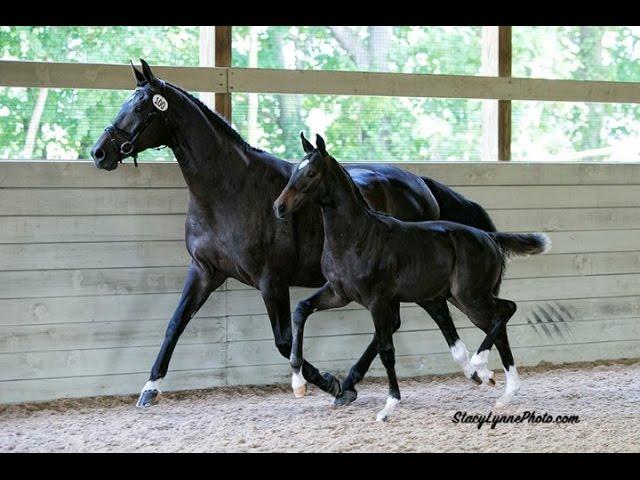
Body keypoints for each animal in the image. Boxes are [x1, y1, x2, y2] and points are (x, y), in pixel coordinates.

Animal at [274, 135, 552, 420]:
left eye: (311, 173)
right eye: (294, 171)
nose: (279, 207)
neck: (357, 237)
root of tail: (489, 237)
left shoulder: (378, 301)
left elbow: (386, 350)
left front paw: (389, 406)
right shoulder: (338, 294)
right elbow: (301, 309)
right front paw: (298, 384)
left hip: (471, 296)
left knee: (507, 310)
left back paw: (481, 366)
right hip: (465, 300)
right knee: (497, 324)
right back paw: (504, 392)